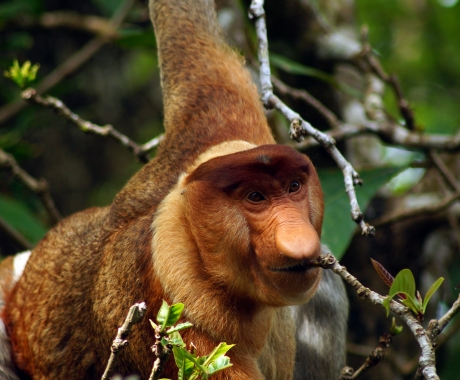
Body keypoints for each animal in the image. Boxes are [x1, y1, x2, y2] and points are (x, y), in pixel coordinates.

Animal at [0, 0, 346, 380]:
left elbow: (191, 43)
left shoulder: (224, 129)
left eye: (293, 186)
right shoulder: (188, 330)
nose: (297, 239)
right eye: (255, 197)